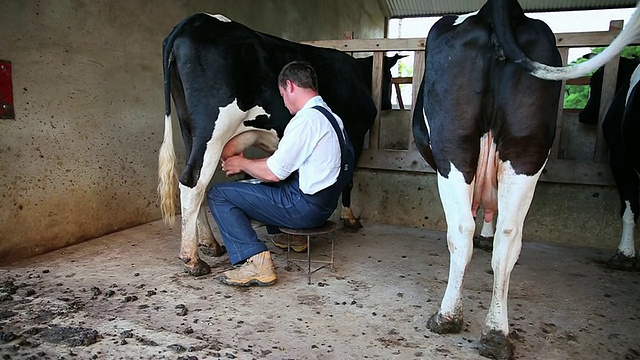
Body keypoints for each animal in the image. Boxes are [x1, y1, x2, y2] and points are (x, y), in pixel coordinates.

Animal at [158, 12, 400, 274]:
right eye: (390, 78)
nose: (388, 105)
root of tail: (193, 21)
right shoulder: (355, 134)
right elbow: (349, 180)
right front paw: (350, 217)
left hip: (188, 129)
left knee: (197, 181)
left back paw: (210, 244)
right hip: (213, 130)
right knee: (193, 183)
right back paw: (192, 259)